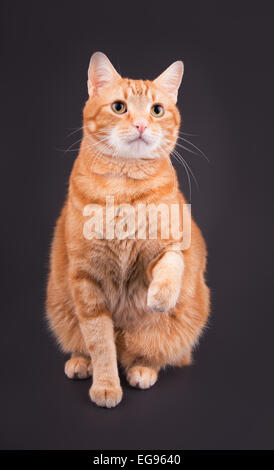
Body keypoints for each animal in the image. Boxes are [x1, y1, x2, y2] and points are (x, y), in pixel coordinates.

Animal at [46, 53, 210, 408]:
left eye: (156, 110)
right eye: (119, 107)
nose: (141, 125)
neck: (124, 187)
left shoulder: (171, 245)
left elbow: (172, 264)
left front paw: (160, 296)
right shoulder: (85, 279)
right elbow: (100, 343)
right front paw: (106, 385)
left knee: (155, 353)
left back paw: (143, 370)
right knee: (89, 345)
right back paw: (80, 363)